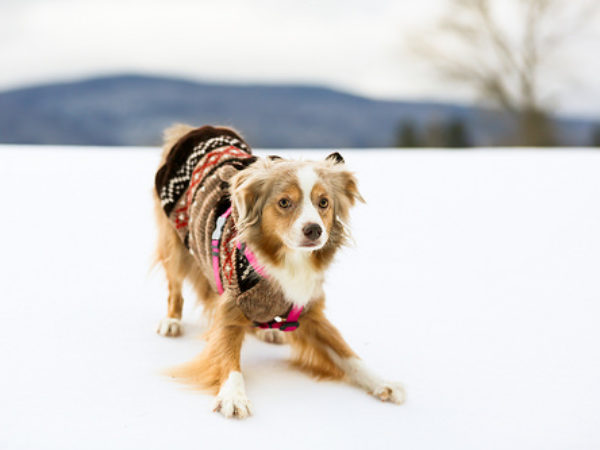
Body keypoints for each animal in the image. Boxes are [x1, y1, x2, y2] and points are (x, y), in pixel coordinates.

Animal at [155, 124, 406, 418]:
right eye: (284, 202)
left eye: (324, 203)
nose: (314, 230)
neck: (289, 260)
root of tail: (197, 129)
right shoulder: (231, 304)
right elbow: (226, 354)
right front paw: (233, 395)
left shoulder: (308, 309)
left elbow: (348, 354)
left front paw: (382, 382)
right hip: (175, 243)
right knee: (174, 285)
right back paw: (171, 321)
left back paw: (268, 330)